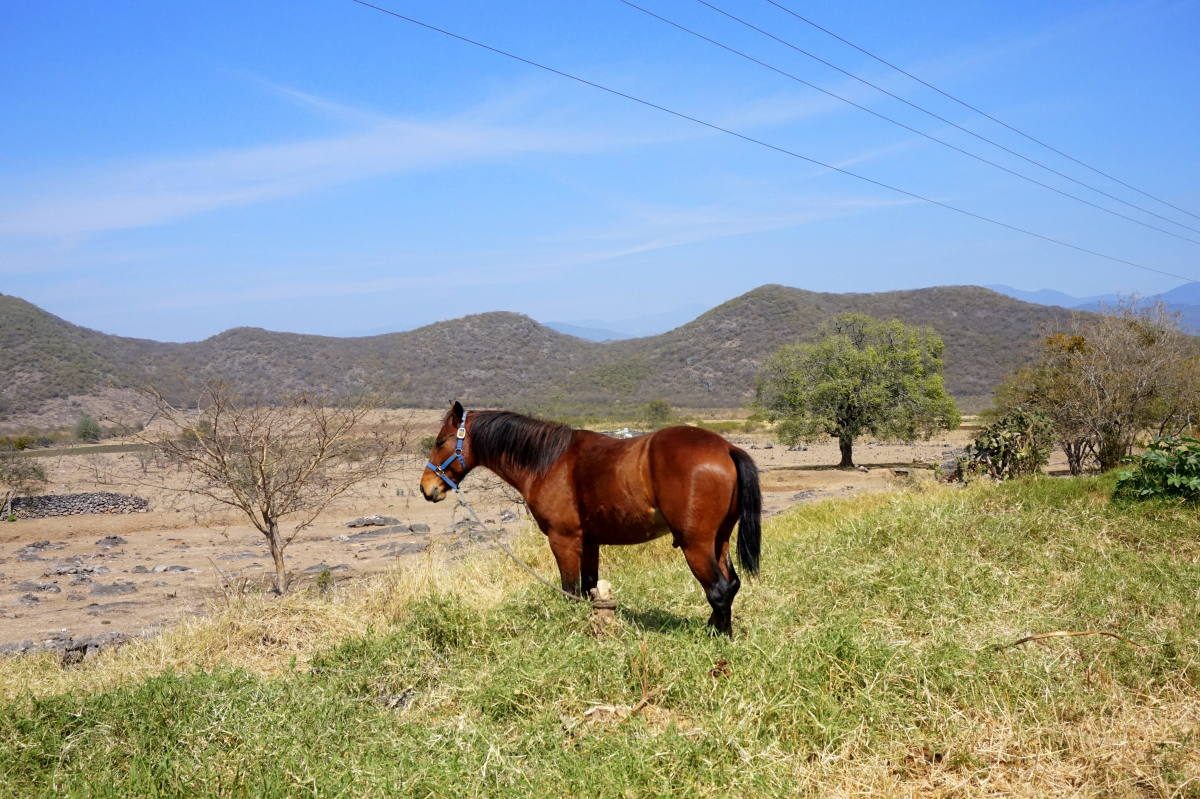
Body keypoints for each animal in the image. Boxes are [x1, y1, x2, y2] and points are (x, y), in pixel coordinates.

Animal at [422, 400, 758, 633]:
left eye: (440, 442)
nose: (427, 488)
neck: (550, 462)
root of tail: (727, 448)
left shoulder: (564, 541)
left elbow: (570, 591)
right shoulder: (590, 543)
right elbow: (590, 590)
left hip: (696, 545)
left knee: (718, 590)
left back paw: (719, 637)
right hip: (719, 542)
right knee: (731, 584)